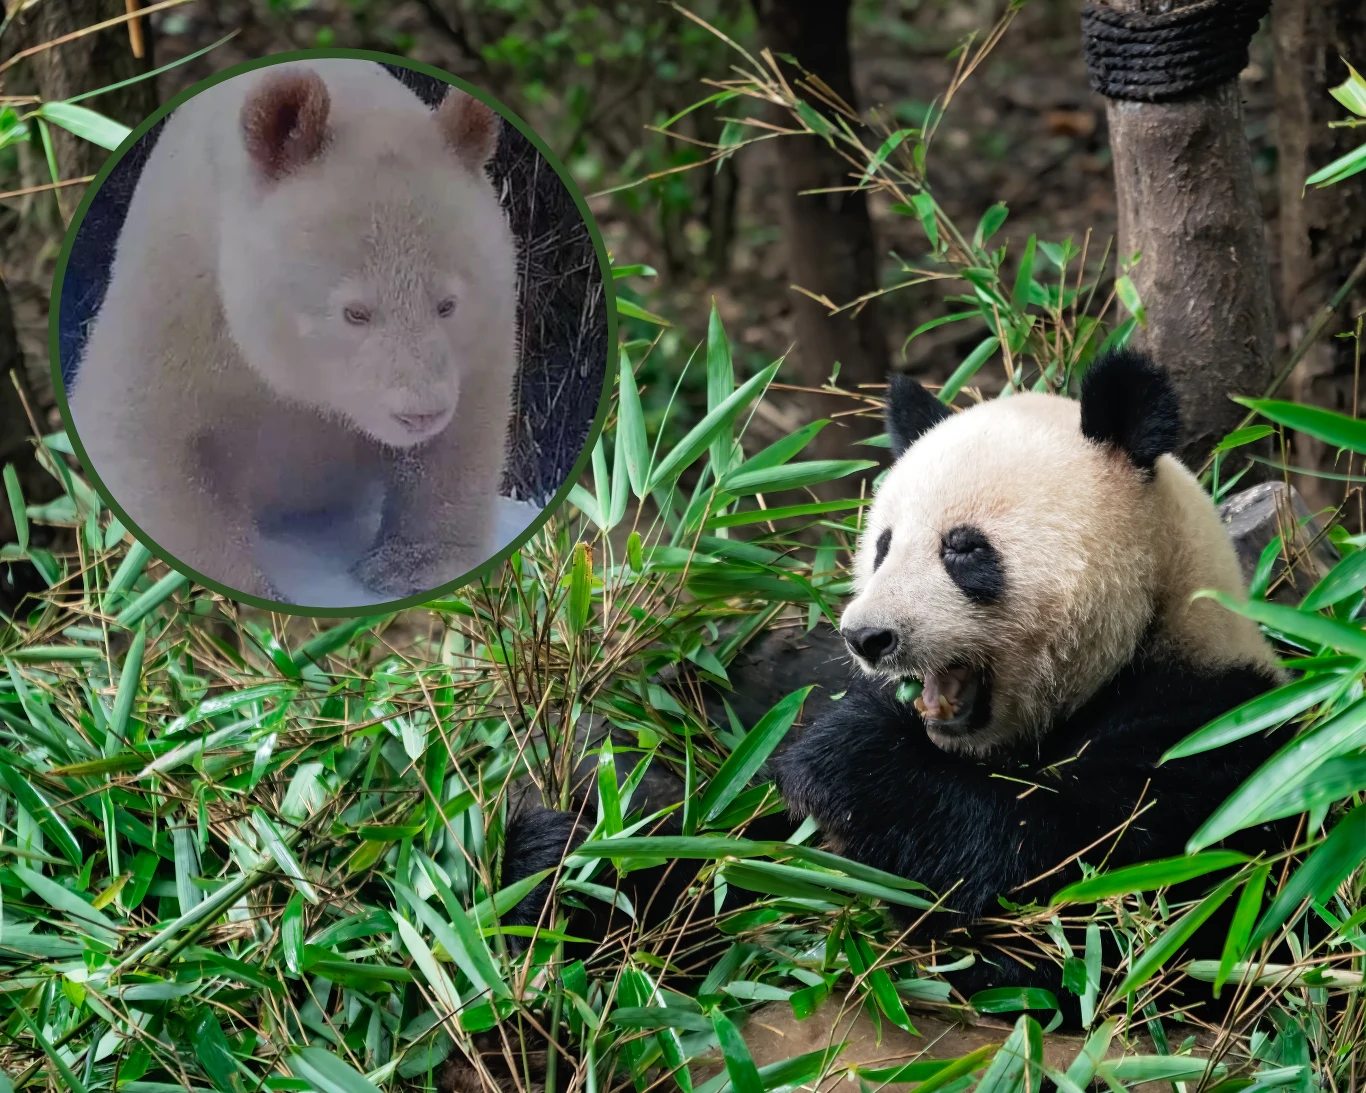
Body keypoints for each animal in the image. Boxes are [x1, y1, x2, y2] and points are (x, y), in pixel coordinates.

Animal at [499, 349, 1290, 1021]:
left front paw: (849, 758)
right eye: (881, 545)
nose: (868, 637)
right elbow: (721, 841)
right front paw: (565, 853)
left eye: (964, 549)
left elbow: (1085, 921)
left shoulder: (1213, 736)